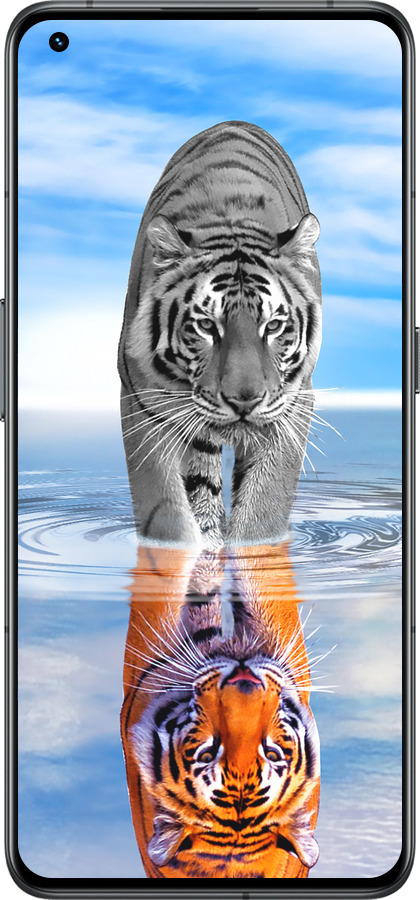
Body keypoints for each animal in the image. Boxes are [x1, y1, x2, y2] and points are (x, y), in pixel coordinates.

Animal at [118, 120, 322, 548]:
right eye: (206, 326)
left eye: (273, 326)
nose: (244, 401)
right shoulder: (142, 401)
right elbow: (166, 511)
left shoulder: (293, 404)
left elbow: (263, 509)